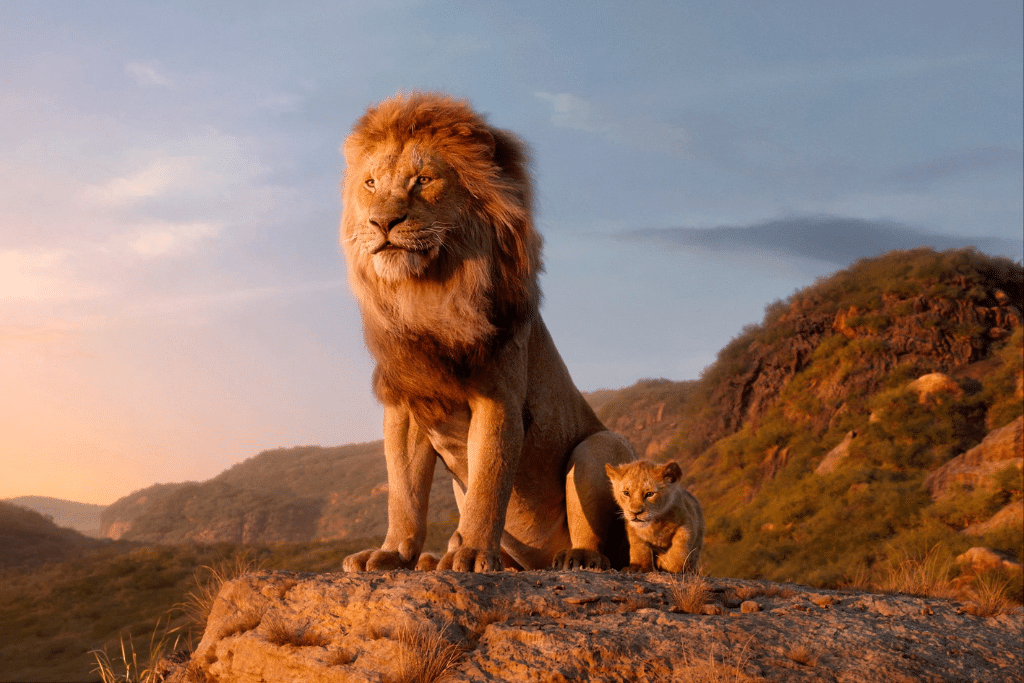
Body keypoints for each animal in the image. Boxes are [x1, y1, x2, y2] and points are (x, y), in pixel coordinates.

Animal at [338, 92, 636, 572]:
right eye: (370, 184)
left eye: (423, 180)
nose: (382, 223)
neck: (427, 295)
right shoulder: (406, 404)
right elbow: (403, 493)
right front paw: (392, 553)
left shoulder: (499, 398)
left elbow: (489, 483)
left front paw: (474, 552)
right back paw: (433, 559)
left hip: (600, 446)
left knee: (602, 541)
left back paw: (577, 558)